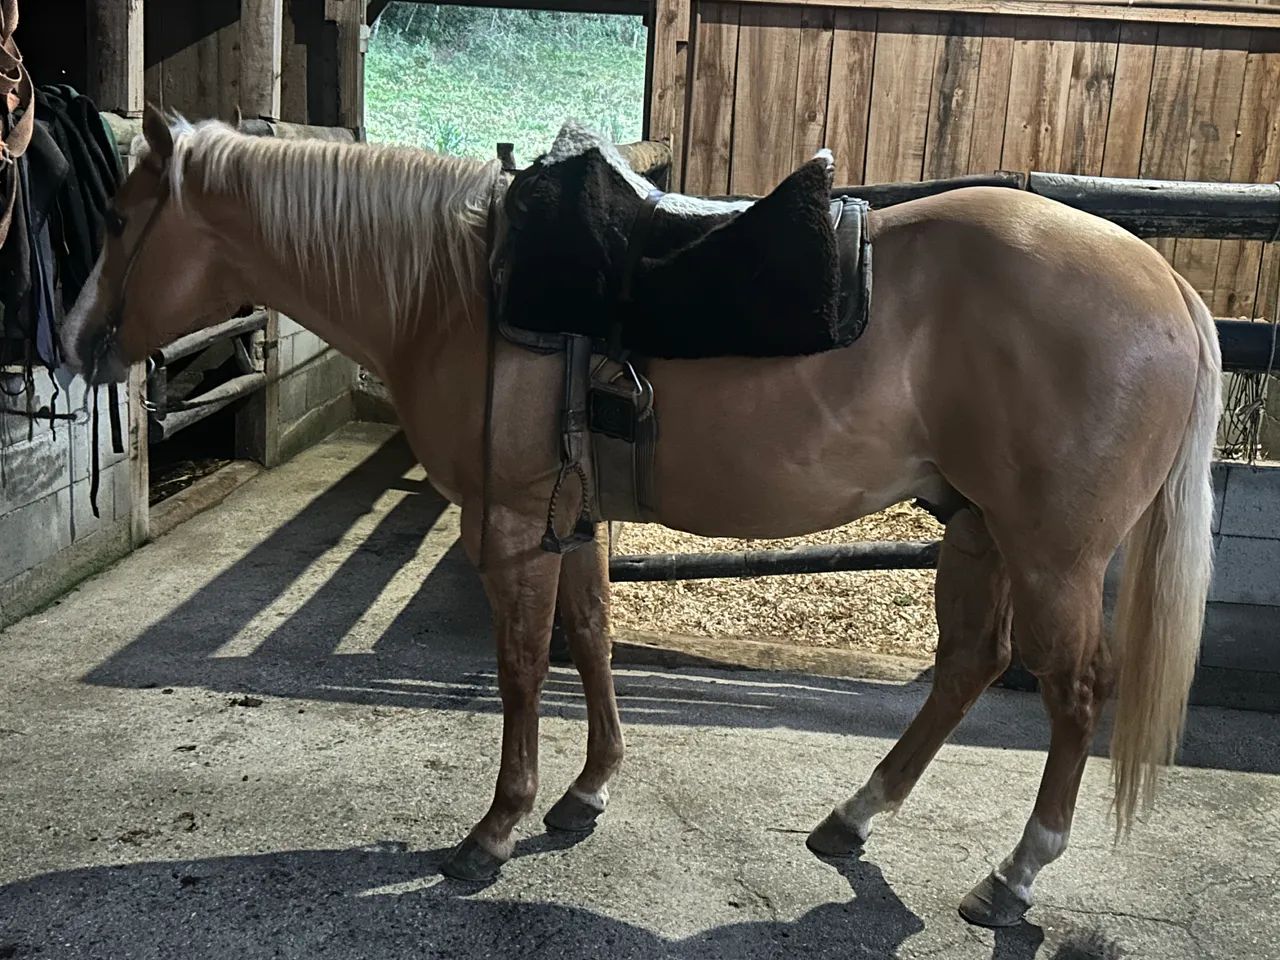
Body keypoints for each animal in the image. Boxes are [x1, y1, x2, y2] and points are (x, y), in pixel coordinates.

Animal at [62, 105, 1221, 928]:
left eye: (118, 219)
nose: (71, 342)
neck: (457, 289)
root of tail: (1167, 286)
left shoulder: (508, 526)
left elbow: (522, 671)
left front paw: (495, 829)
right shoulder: (570, 522)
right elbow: (591, 639)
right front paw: (587, 793)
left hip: (1054, 553)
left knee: (1072, 692)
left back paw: (1013, 874)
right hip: (975, 529)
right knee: (969, 665)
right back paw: (853, 819)